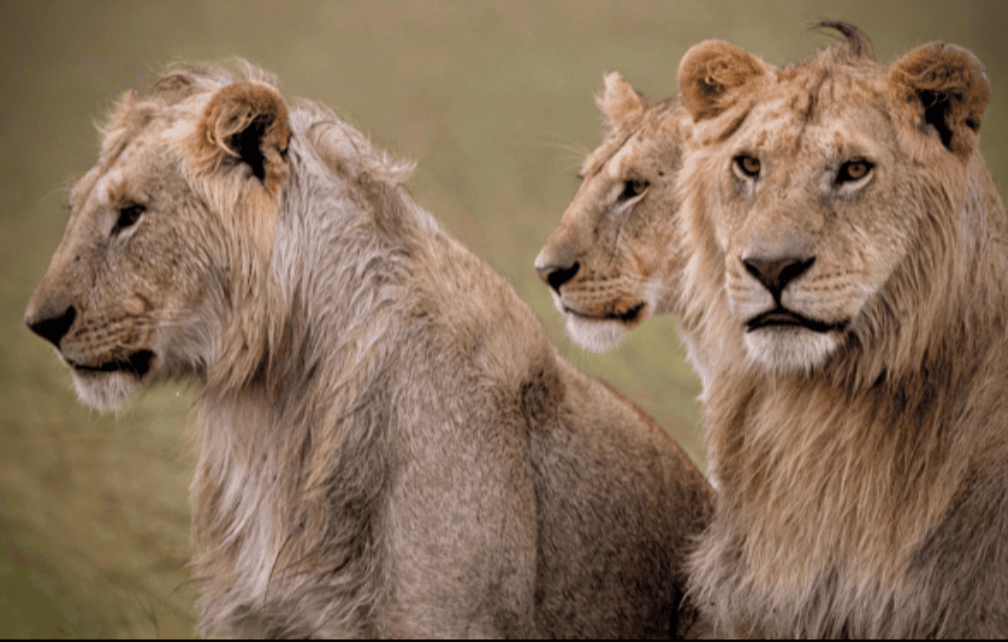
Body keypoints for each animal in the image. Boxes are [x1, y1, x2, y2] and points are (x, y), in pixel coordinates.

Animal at [24, 62, 715, 638]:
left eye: (131, 214)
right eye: (76, 207)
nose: (39, 322)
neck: (274, 406)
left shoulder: (449, 621)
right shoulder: (248, 615)